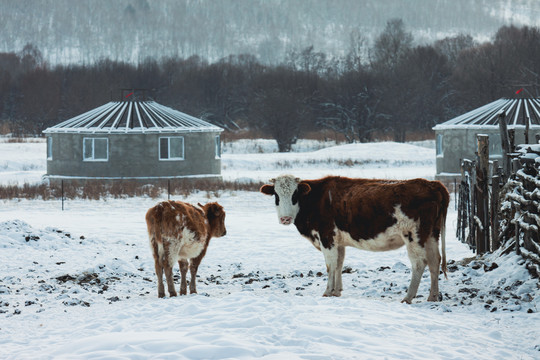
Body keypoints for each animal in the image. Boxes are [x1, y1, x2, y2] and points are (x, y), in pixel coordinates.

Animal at [260, 175, 450, 304]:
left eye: (295, 195)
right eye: (276, 195)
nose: (285, 218)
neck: (316, 200)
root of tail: (431, 184)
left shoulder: (326, 237)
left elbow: (330, 265)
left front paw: (327, 291)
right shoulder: (338, 241)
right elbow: (339, 264)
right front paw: (337, 291)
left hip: (414, 235)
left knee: (419, 264)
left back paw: (408, 297)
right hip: (432, 235)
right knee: (435, 261)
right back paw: (433, 296)